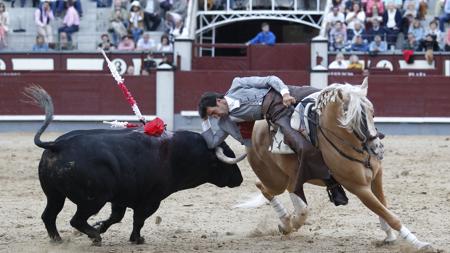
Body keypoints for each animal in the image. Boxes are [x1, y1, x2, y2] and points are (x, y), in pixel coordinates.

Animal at [26, 87, 244, 245]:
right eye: (225, 162)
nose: (240, 179)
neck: (180, 153)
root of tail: (57, 144)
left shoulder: (120, 198)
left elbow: (116, 217)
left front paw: (101, 226)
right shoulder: (151, 199)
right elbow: (139, 219)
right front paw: (136, 239)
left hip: (55, 194)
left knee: (49, 215)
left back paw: (59, 239)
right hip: (93, 199)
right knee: (76, 219)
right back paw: (95, 237)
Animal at [243, 78, 432, 251]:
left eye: (372, 112)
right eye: (353, 117)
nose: (377, 148)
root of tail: (256, 128)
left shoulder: (377, 178)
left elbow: (383, 208)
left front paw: (389, 237)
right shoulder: (359, 188)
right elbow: (389, 214)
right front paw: (419, 243)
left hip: (288, 177)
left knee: (277, 190)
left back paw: (287, 223)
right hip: (276, 180)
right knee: (265, 187)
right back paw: (287, 222)